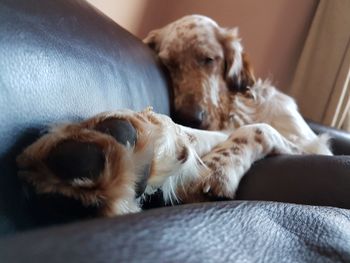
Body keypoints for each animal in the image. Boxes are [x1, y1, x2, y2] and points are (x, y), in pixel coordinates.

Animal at [17, 14, 330, 218]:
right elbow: (195, 134)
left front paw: (220, 166)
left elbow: (260, 128)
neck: (234, 110)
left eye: (209, 59)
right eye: (168, 64)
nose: (190, 114)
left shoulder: (314, 148)